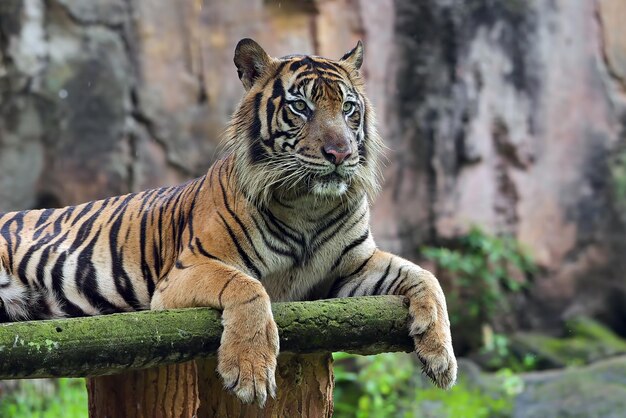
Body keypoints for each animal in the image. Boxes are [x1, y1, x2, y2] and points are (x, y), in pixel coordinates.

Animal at [0, 38, 456, 404]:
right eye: (301, 107)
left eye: (348, 109)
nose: (341, 154)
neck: (308, 205)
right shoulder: (186, 271)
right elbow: (248, 287)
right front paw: (250, 374)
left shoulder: (352, 268)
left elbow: (425, 276)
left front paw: (441, 356)